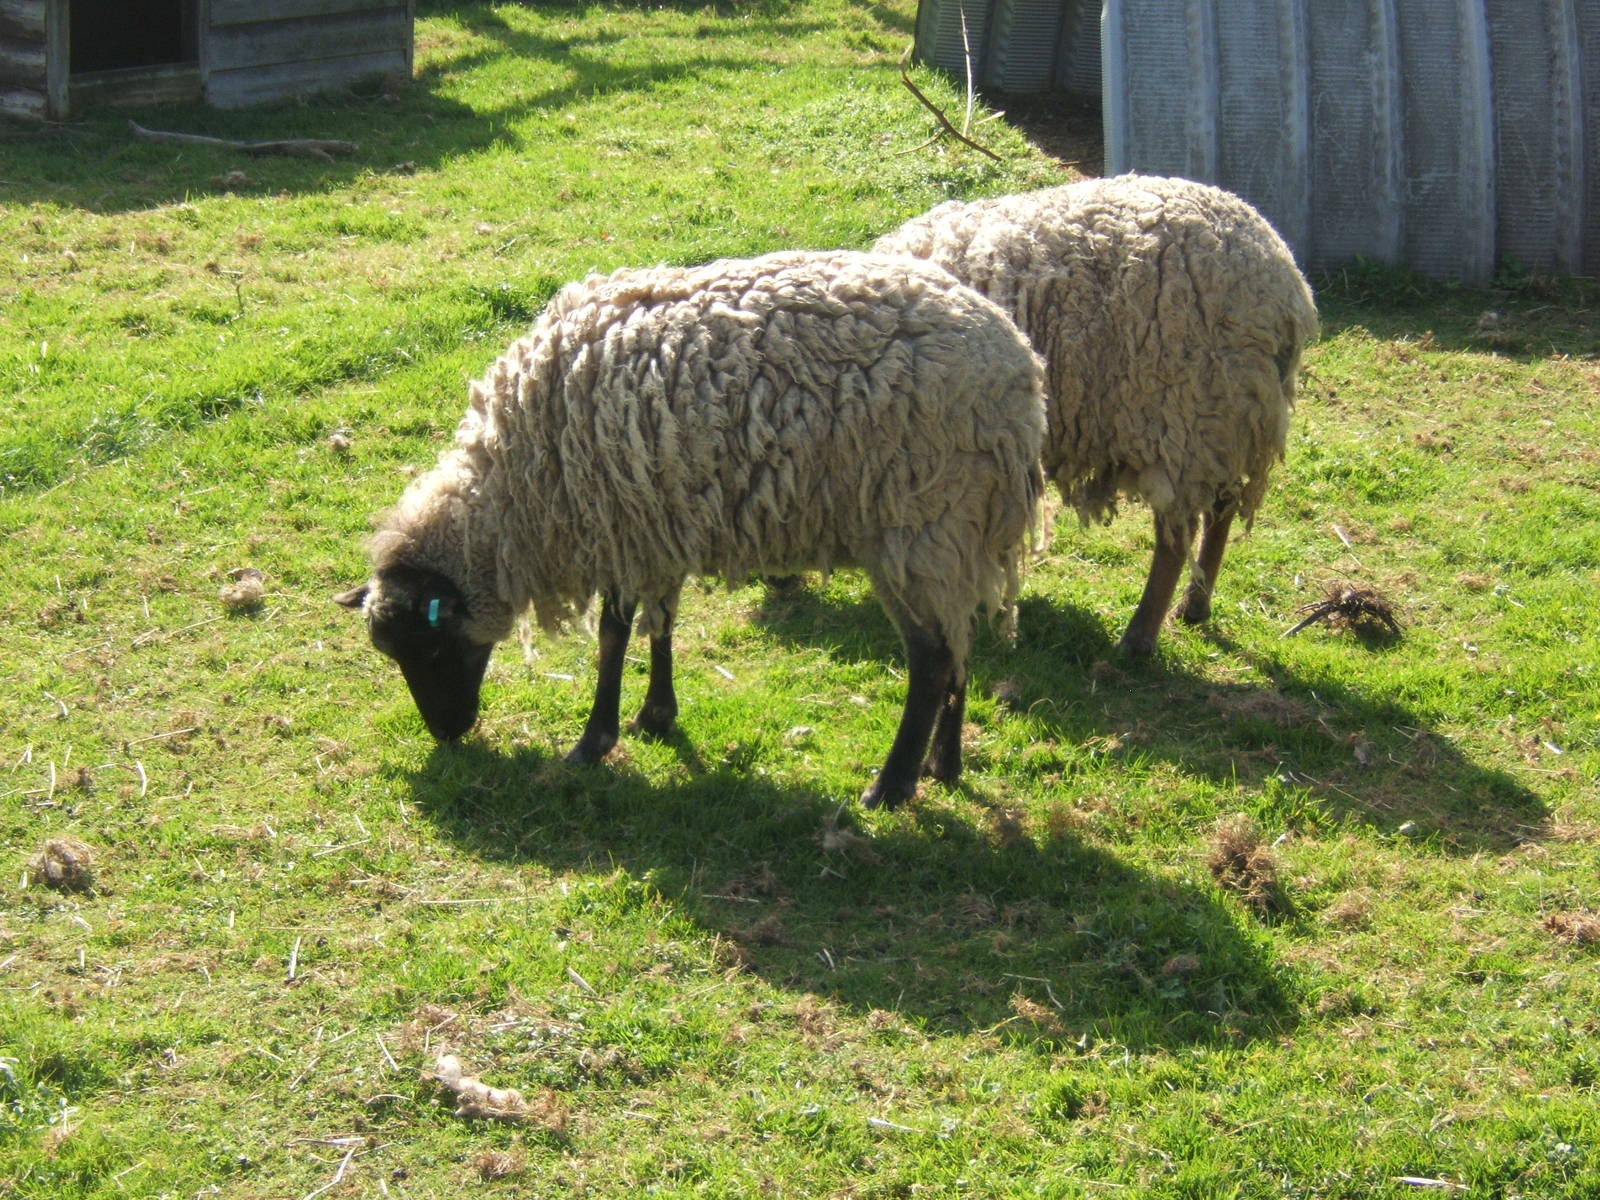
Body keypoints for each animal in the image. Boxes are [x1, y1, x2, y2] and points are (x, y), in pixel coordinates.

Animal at [336, 249, 1046, 809]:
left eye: (430, 650)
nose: (448, 734)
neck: (517, 488)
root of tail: (1021, 378)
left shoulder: (620, 525)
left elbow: (615, 634)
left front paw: (594, 740)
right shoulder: (656, 524)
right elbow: (660, 623)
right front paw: (656, 715)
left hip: (917, 526)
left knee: (931, 660)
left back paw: (892, 786)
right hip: (958, 535)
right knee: (960, 643)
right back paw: (944, 763)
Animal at [874, 174, 1318, 655]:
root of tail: (1284, 283)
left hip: (1182, 419)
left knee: (1175, 537)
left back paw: (1139, 639)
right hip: (1226, 420)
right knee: (1221, 508)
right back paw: (1194, 607)